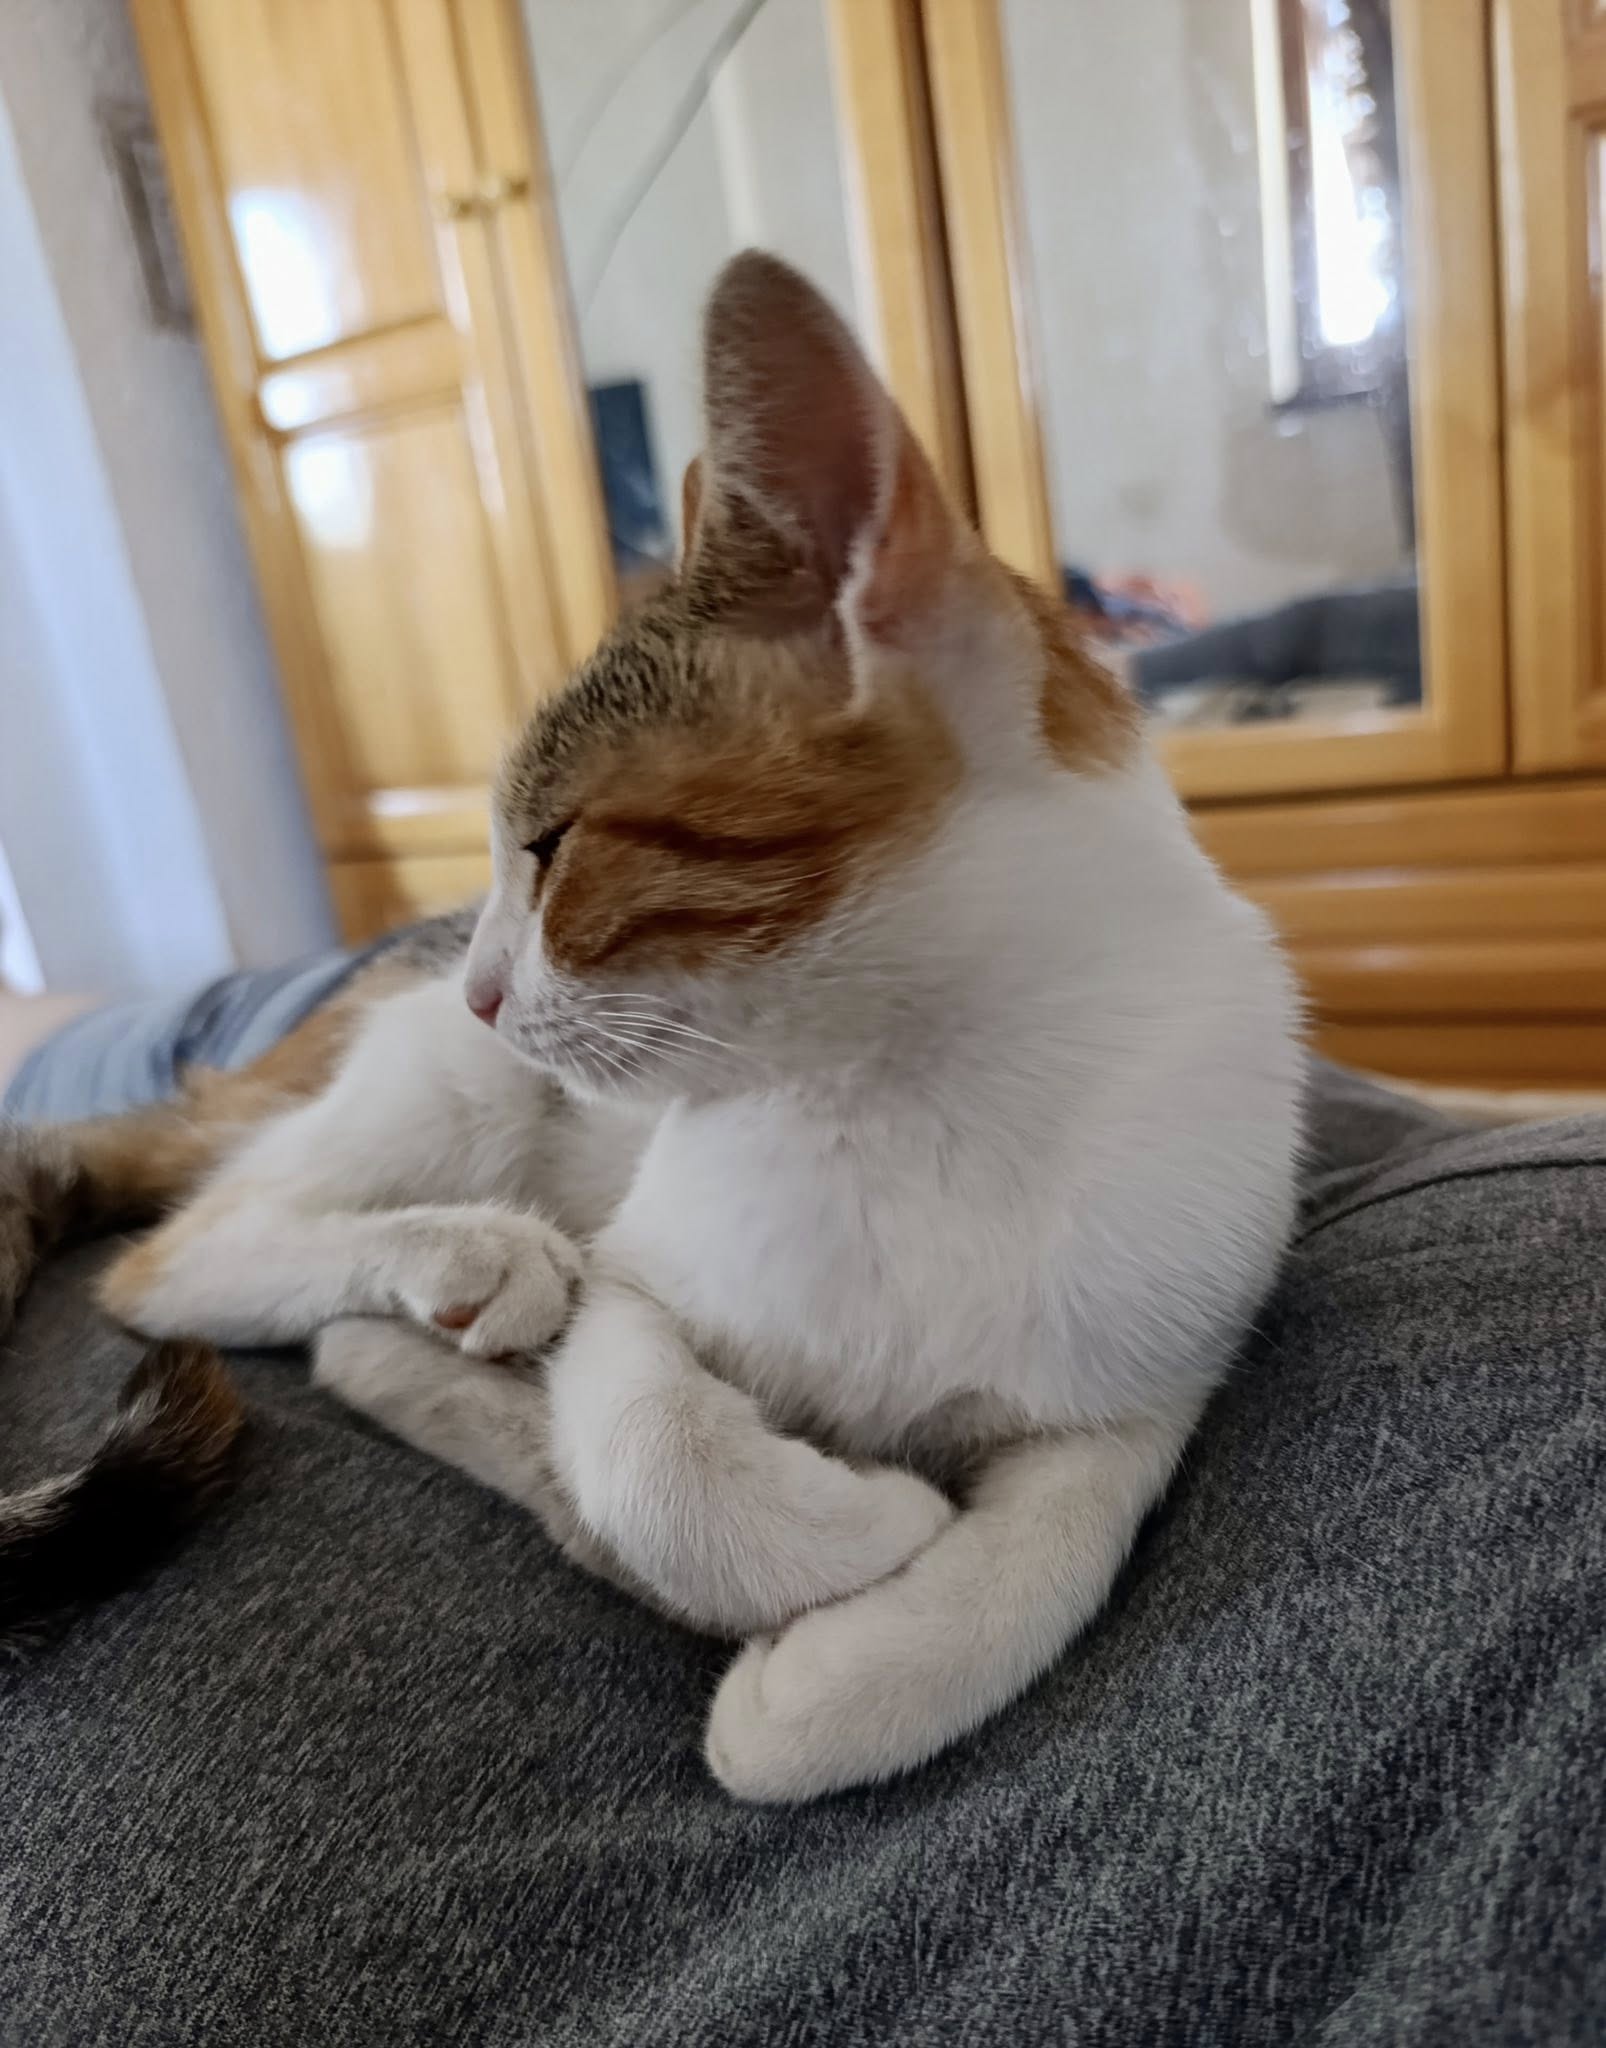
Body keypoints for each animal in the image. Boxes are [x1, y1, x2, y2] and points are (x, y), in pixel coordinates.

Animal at [0, 252, 1302, 1799]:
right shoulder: (636, 1282)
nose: (481, 979)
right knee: (176, 1259)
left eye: (553, 845)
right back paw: (451, 1259)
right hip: (442, 1083)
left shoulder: (1149, 1369)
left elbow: (1053, 1558)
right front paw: (857, 1529)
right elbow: (655, 1452)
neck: (914, 1090)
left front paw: (847, 1677)